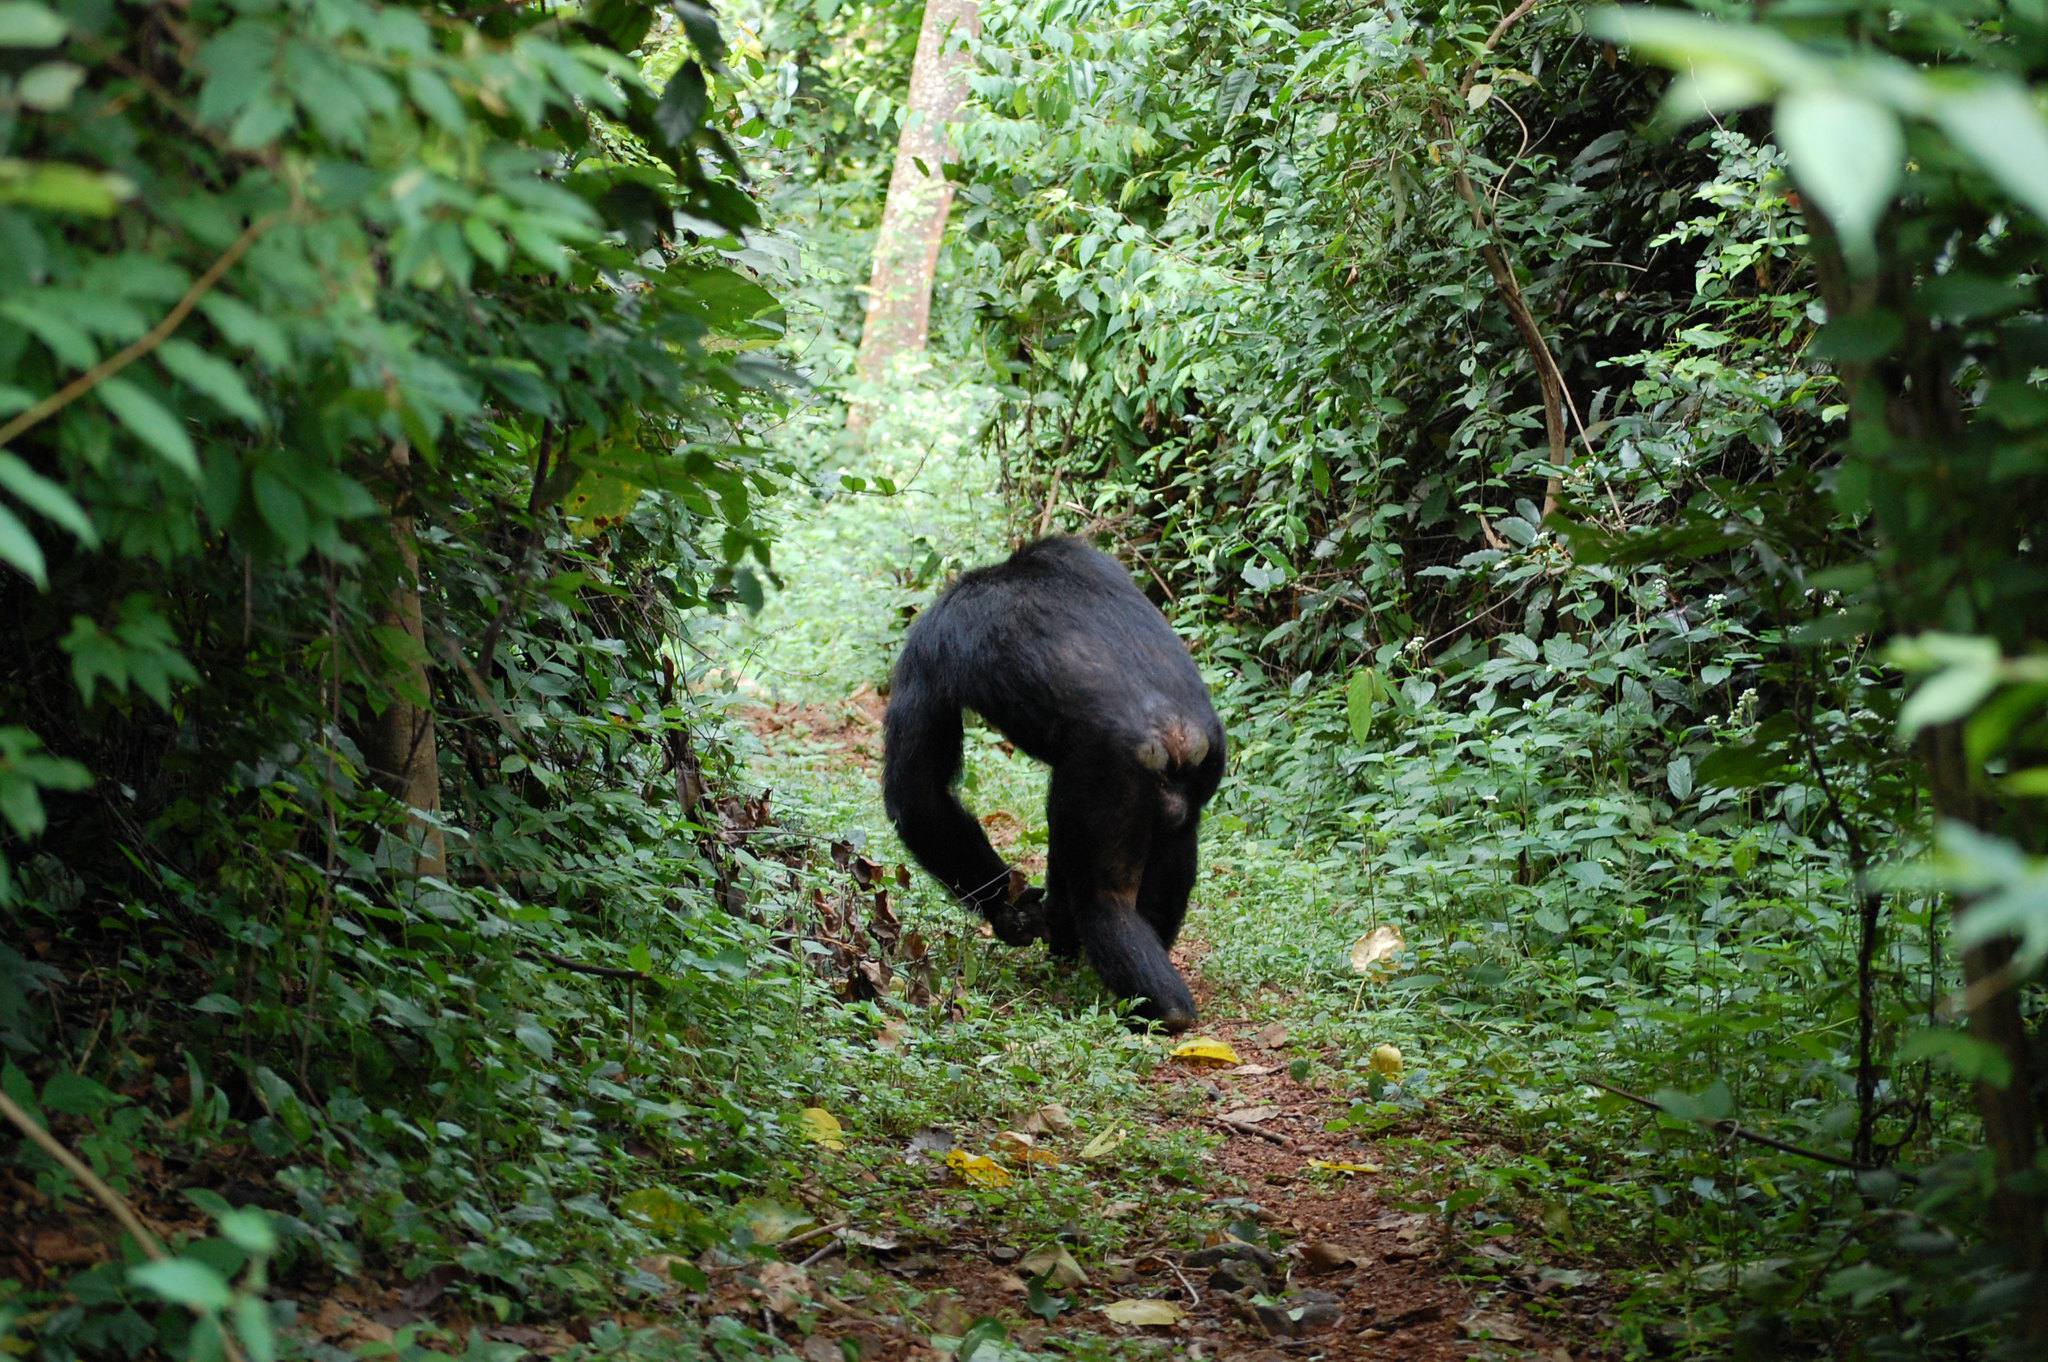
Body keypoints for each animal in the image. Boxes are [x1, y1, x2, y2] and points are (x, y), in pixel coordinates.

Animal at [876, 536, 1220, 1024]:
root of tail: (1174, 733)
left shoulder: (927, 648)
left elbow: (918, 794)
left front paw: (1011, 912)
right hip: (1200, 766)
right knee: (1176, 843)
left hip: (1108, 778)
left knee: (1100, 893)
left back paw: (1158, 1005)